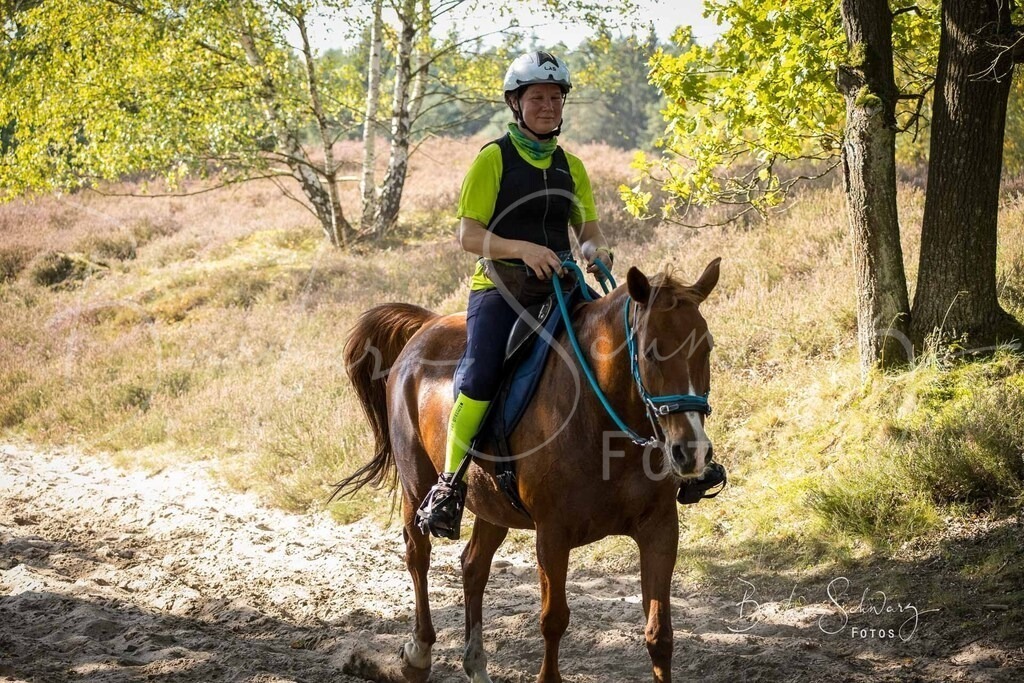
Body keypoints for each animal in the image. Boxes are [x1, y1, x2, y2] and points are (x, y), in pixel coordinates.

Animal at [337, 258, 721, 683]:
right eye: (651, 352)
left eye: (706, 347)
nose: (691, 452)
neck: (601, 418)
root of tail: (428, 325)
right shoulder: (552, 535)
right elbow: (553, 620)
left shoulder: (659, 529)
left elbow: (660, 633)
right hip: (416, 486)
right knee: (417, 555)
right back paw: (418, 654)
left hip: (491, 505)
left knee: (473, 566)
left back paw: (476, 664)